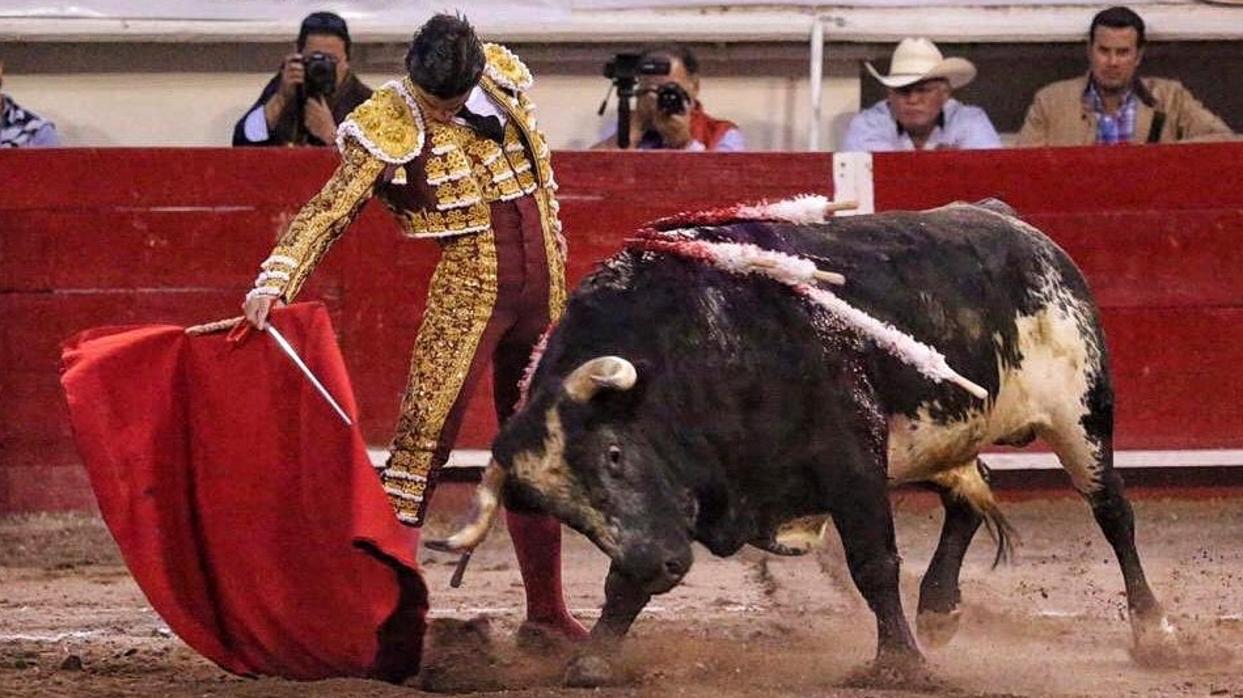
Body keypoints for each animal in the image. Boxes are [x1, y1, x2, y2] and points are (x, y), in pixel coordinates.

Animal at [435, 199, 1173, 670]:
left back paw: (1153, 631)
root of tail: (1016, 225)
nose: (660, 566)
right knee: (968, 497)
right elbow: (622, 586)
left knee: (1112, 511)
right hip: (940, 435)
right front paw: (592, 661)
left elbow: (873, 563)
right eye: (566, 512)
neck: (704, 344)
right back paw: (939, 609)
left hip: (1081, 416)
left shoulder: (851, 461)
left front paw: (899, 667)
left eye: (614, 454)